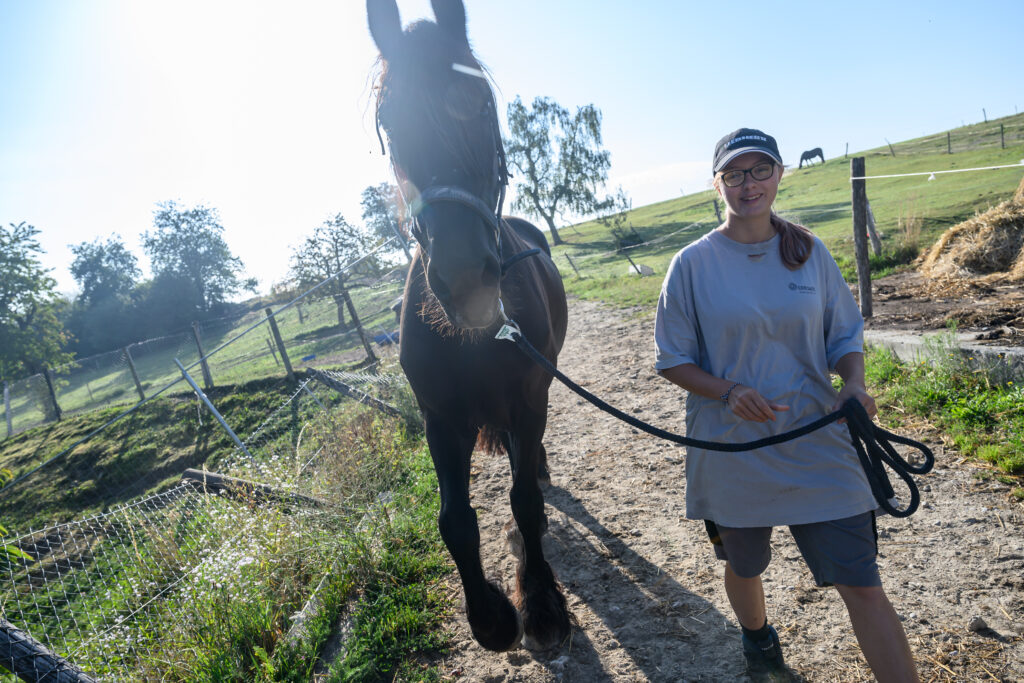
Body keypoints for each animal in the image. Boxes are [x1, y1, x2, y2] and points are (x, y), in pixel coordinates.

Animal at [366, 0, 573, 651]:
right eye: (389, 120)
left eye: (480, 101)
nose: (463, 279)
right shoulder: (440, 416)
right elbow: (454, 520)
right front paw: (489, 615)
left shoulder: (530, 398)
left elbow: (524, 501)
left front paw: (540, 601)